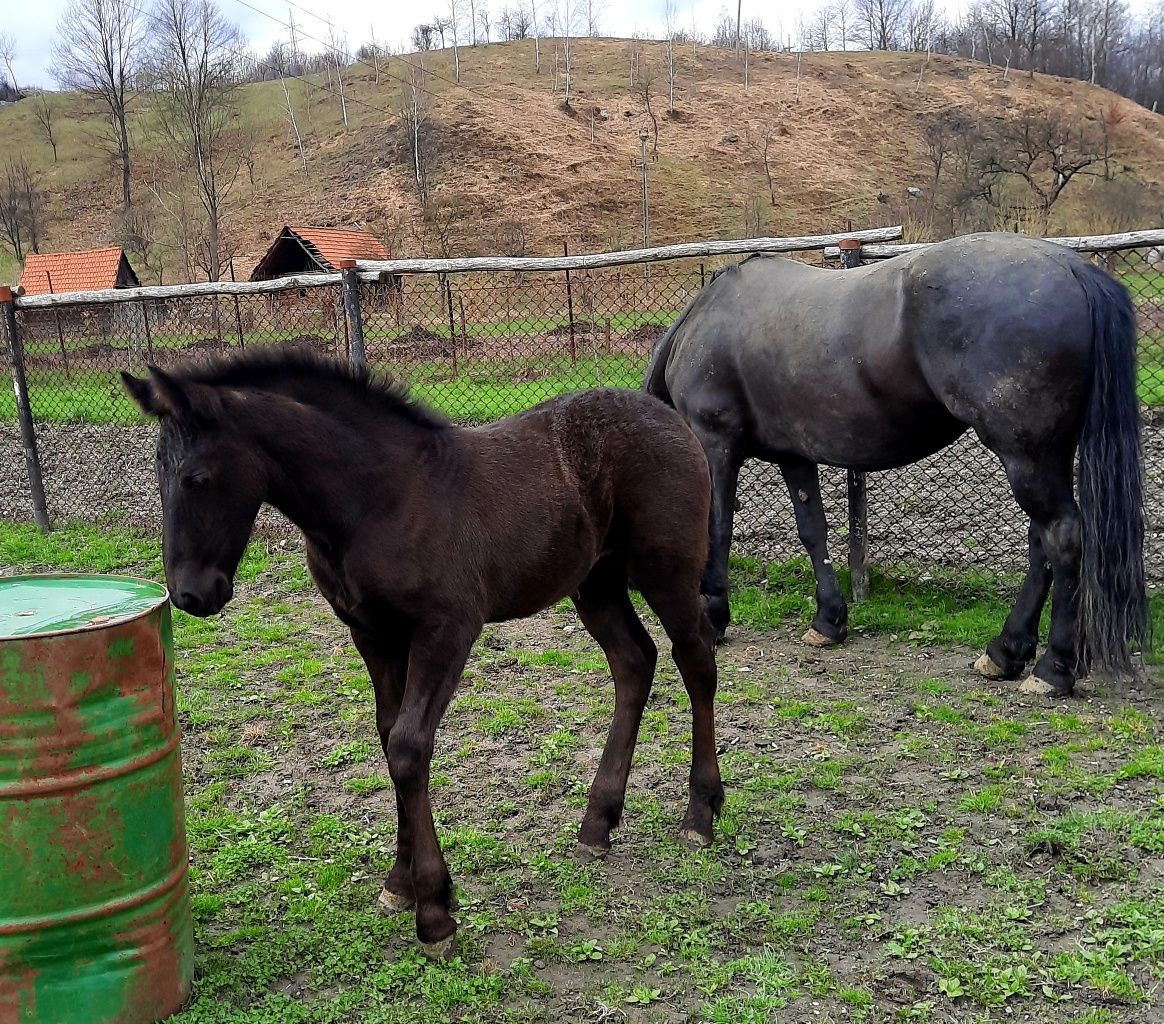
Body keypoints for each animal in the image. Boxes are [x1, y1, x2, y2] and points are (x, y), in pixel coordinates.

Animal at [642, 231, 1150, 698]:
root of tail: (1071, 267)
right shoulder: (794, 454)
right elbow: (813, 531)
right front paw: (828, 622)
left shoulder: (714, 440)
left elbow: (716, 527)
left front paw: (712, 617)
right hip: (1043, 457)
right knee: (1041, 543)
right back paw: (1006, 652)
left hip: (1027, 457)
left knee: (1062, 538)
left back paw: (1052, 670)